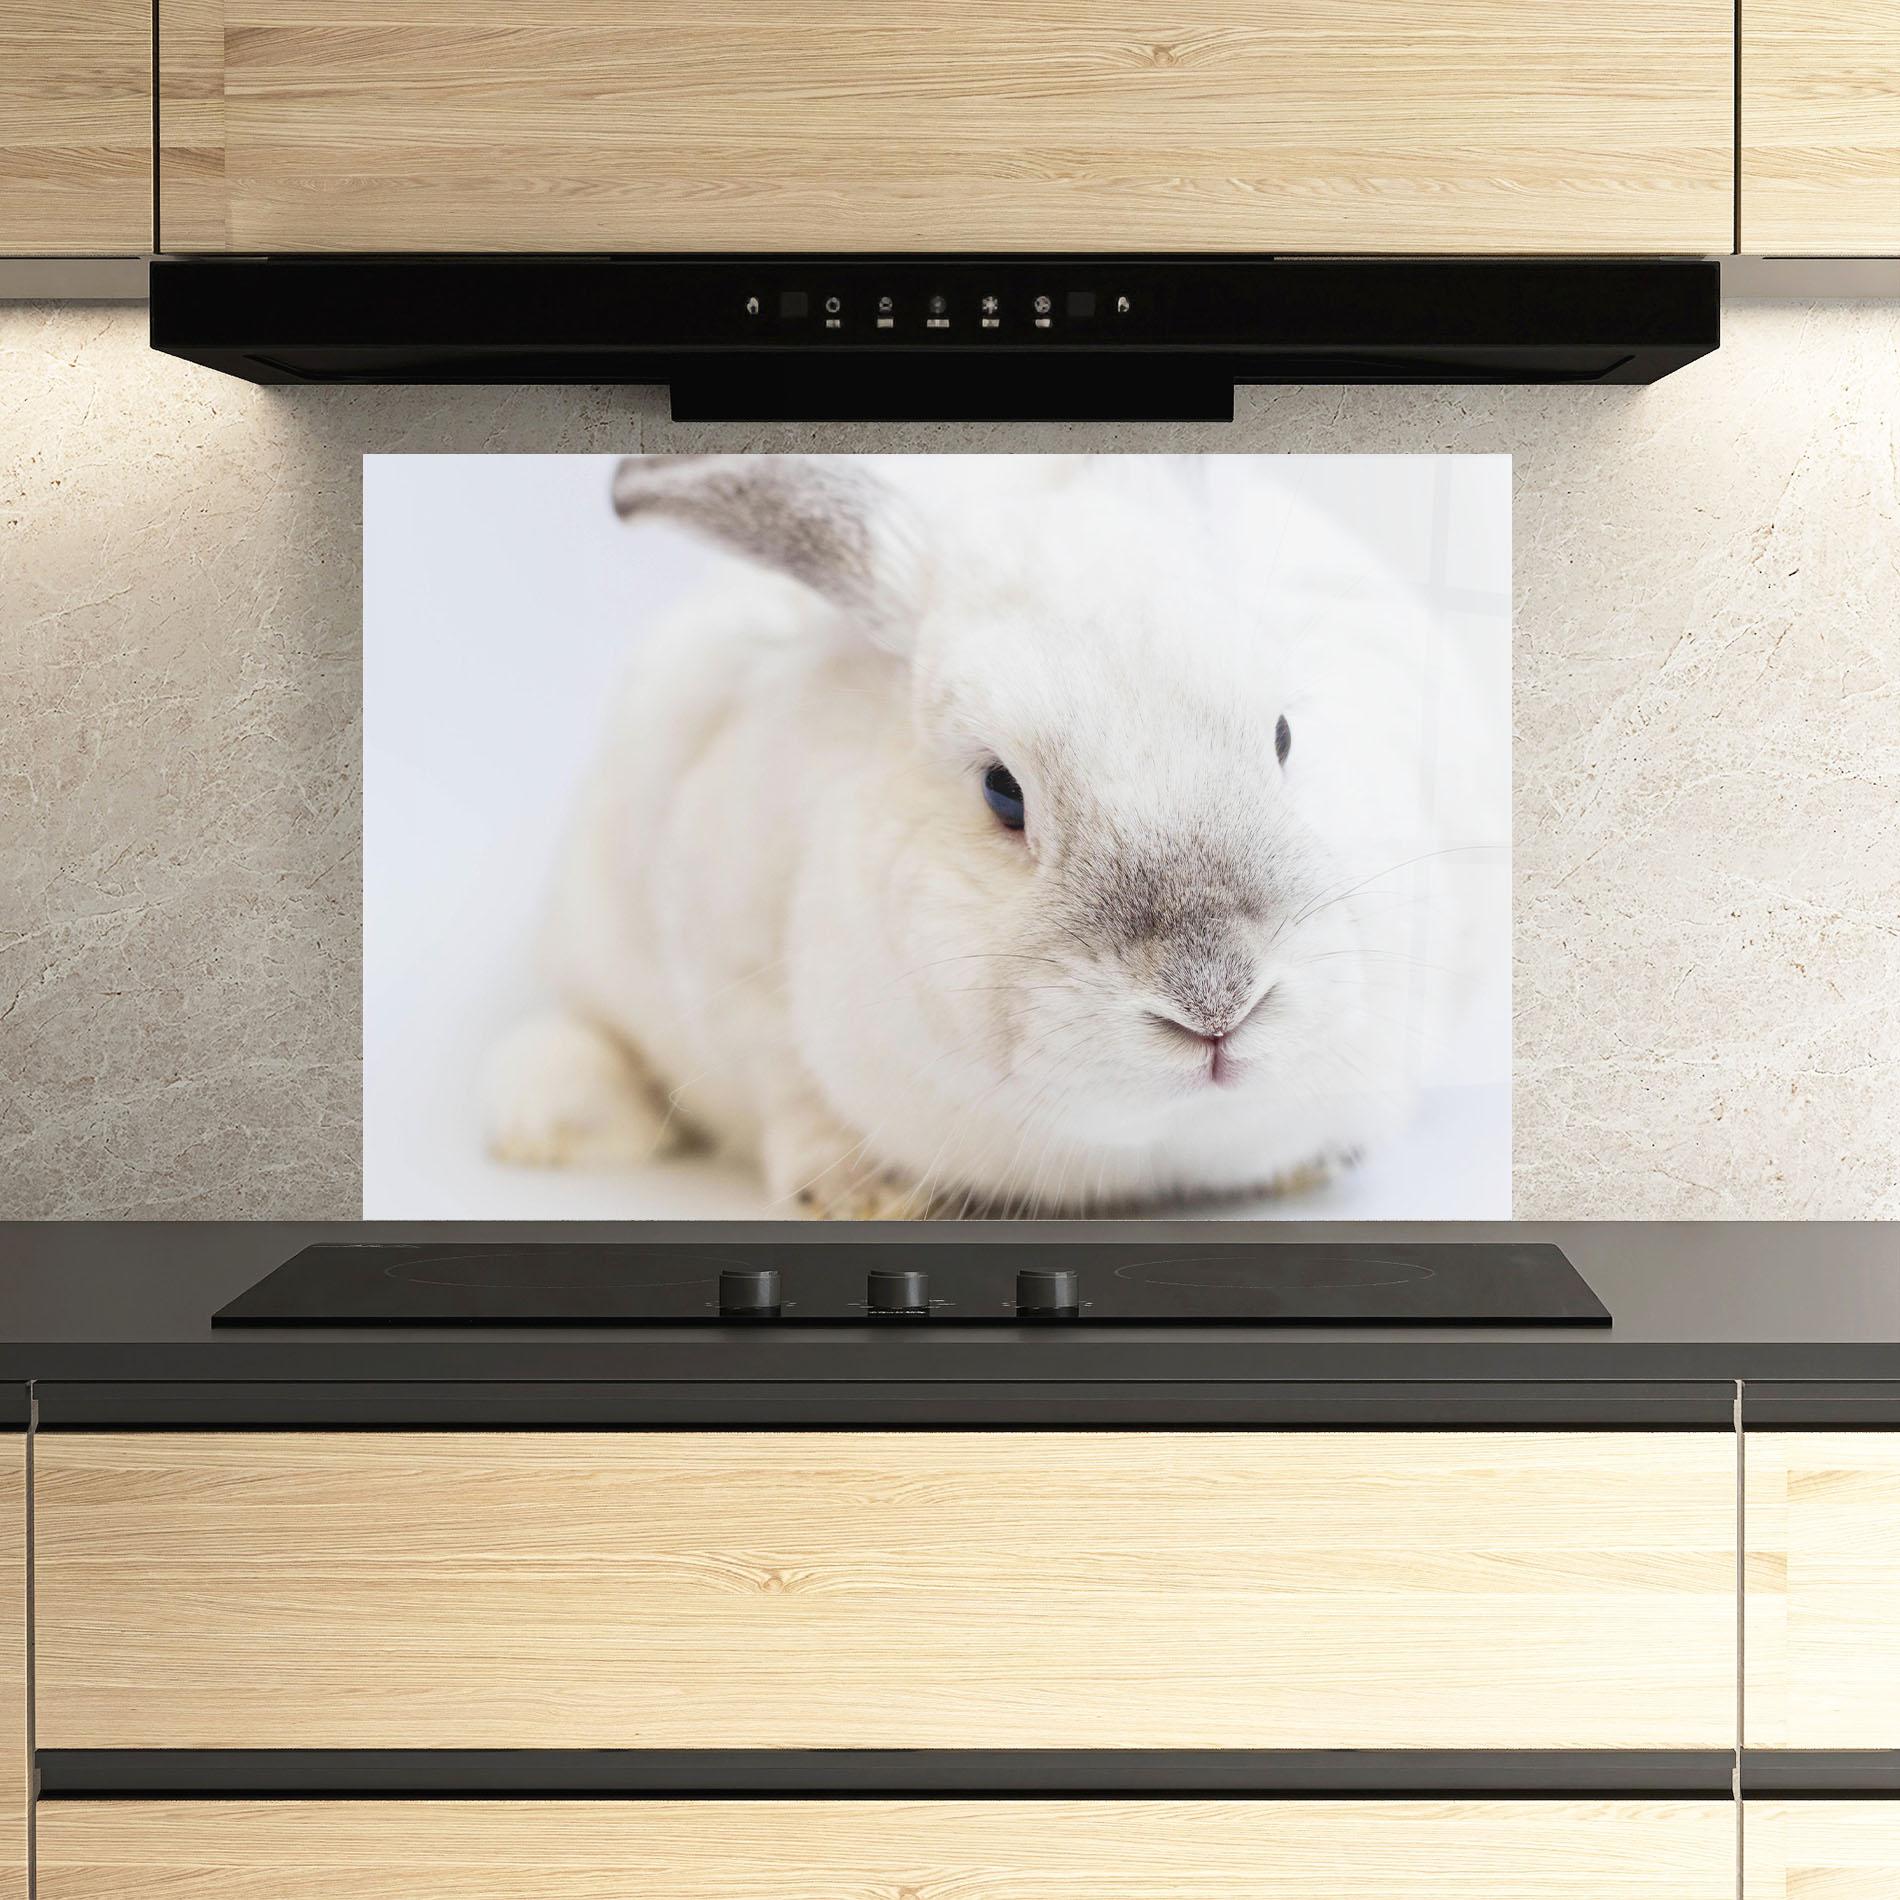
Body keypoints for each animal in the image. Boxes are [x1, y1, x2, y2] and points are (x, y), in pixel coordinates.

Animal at [483, 454, 1504, 1218]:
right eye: (1002, 792)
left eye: (1285, 735)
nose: (1216, 1003)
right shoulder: (728, 968)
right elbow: (790, 1092)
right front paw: (863, 1191)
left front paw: (1314, 1160)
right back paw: (546, 1126)